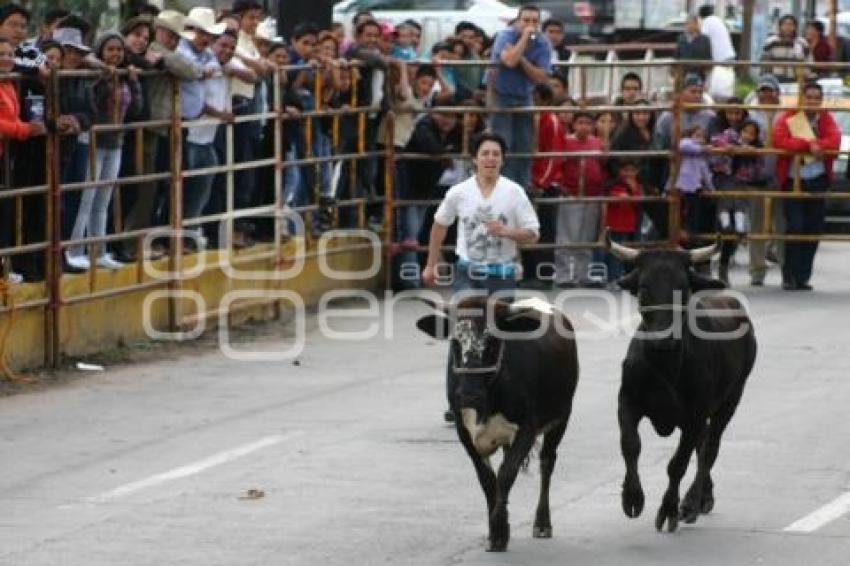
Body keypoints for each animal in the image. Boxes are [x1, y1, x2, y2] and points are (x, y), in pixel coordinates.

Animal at [416, 298, 580, 556]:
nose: (469, 395)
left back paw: (542, 523)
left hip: (561, 418)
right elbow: (488, 480)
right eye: (455, 342)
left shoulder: (527, 428)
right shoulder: (465, 434)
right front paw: (497, 531)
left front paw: (499, 531)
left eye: (492, 342)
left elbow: (505, 475)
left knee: (547, 463)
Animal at [608, 239, 760, 532]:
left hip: (731, 400)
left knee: (709, 449)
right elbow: (630, 445)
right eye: (644, 287)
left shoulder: (694, 417)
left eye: (683, 287)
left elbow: (677, 464)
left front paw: (669, 509)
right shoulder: (627, 403)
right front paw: (632, 497)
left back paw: (691, 502)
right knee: (703, 447)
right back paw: (703, 498)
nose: (663, 338)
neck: (664, 365)